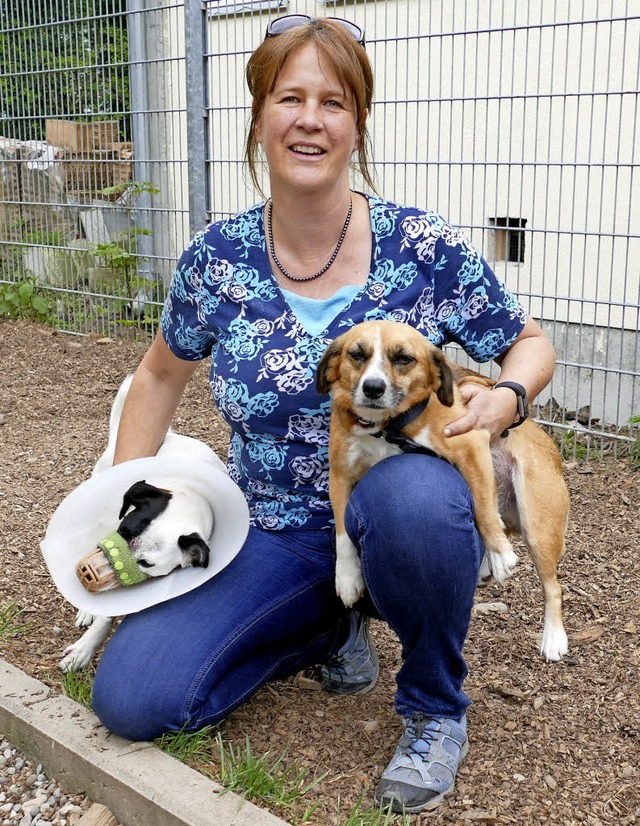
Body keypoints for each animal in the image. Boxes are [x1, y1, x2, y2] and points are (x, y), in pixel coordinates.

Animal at [316, 318, 568, 660]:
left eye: (403, 358)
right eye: (357, 354)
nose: (373, 388)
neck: (387, 426)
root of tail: (552, 449)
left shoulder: (471, 442)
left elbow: (484, 510)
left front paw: (500, 553)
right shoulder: (340, 474)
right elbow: (342, 533)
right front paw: (346, 578)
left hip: (538, 525)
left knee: (553, 585)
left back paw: (553, 637)